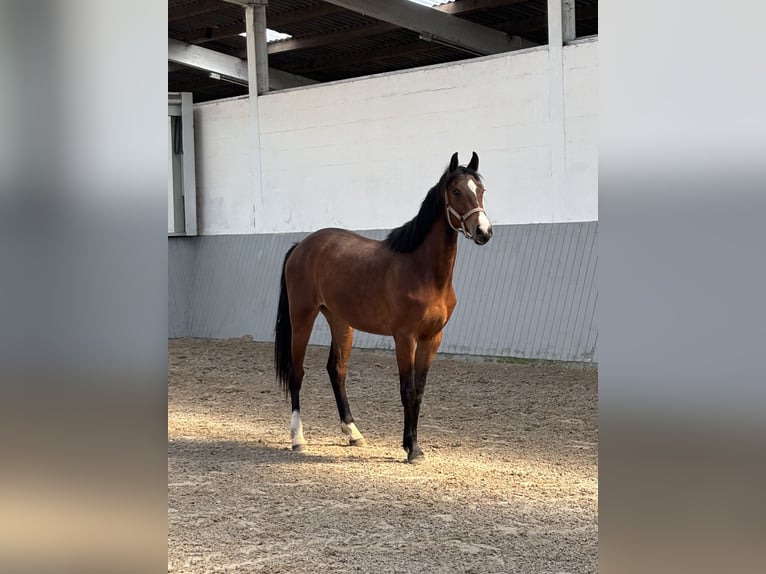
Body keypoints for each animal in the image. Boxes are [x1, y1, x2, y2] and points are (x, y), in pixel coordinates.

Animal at [274, 151, 493, 463]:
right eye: (456, 191)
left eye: (481, 190)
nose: (483, 231)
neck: (422, 271)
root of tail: (302, 245)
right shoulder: (404, 338)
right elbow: (407, 390)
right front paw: (412, 449)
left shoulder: (432, 339)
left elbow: (419, 391)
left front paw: (412, 444)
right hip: (302, 317)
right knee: (297, 372)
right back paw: (298, 439)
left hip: (341, 322)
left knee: (336, 370)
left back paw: (353, 433)